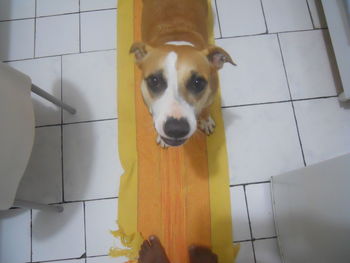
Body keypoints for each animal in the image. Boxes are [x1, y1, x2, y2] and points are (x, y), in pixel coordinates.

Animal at [129, 0, 235, 147]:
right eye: (154, 80)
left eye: (198, 82)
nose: (176, 129)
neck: (176, 38)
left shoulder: (211, 95)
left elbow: (206, 109)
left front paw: (206, 121)